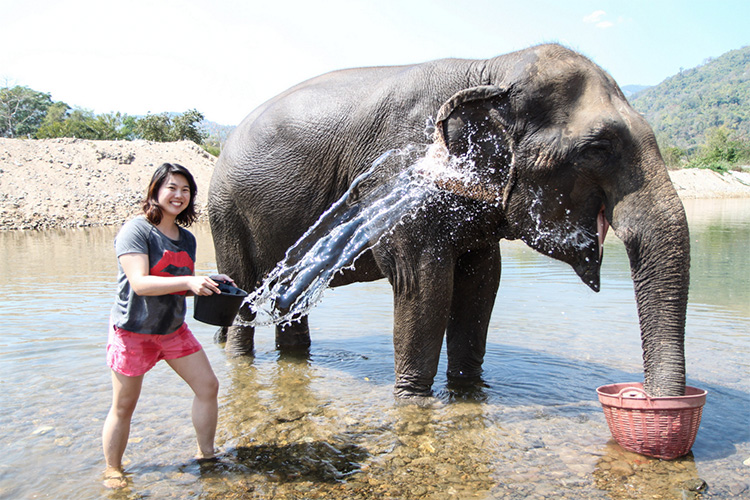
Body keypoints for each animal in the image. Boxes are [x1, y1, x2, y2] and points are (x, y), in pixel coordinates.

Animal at [209, 45, 692, 400]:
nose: (652, 401)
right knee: (241, 289)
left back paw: (294, 358)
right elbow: (424, 287)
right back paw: (239, 358)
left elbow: (481, 285)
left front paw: (468, 391)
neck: (492, 68)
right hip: (226, 212)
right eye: (598, 148)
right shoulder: (400, 178)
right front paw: (412, 400)